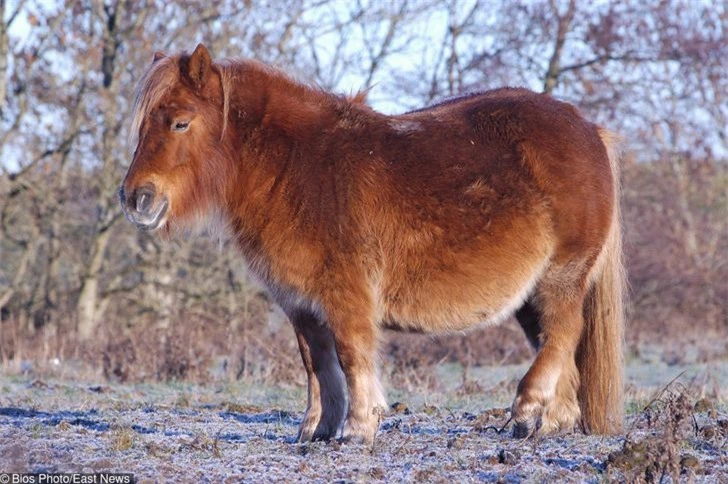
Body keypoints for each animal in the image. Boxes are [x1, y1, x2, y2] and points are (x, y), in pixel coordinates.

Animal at [119, 43, 624, 444]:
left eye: (180, 123)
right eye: (143, 125)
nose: (135, 198)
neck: (296, 169)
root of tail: (590, 130)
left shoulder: (346, 294)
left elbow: (351, 354)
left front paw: (359, 428)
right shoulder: (301, 304)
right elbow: (316, 364)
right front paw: (315, 430)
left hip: (560, 278)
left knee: (562, 335)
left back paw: (526, 411)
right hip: (529, 297)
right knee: (561, 352)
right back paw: (552, 424)